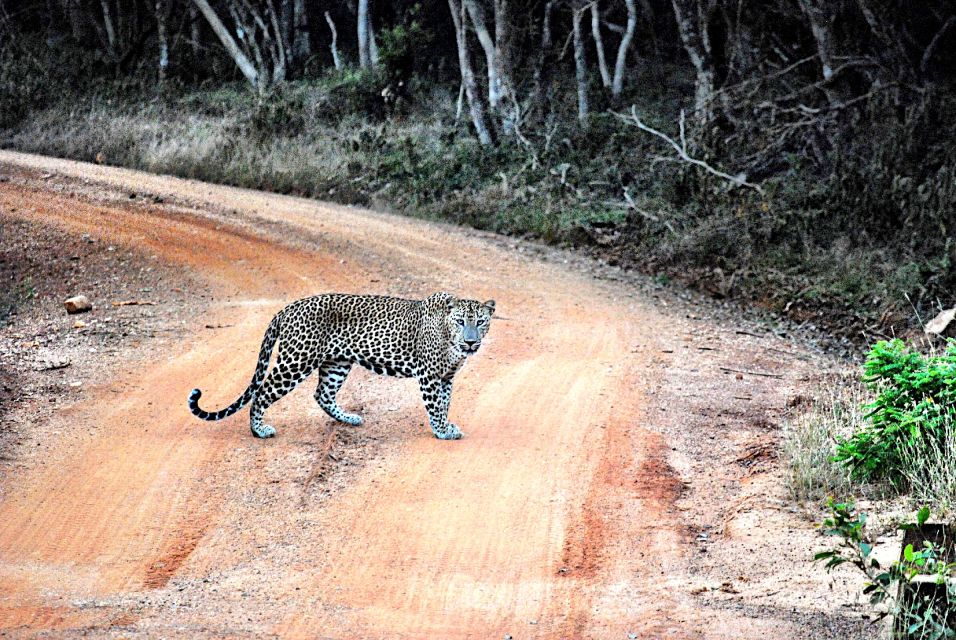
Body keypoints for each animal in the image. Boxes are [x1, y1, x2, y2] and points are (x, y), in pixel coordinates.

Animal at [190, 294, 496, 440]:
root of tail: (286, 309)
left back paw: (348, 418)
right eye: (460, 321)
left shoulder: (446, 377)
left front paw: (445, 425)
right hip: (296, 360)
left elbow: (444, 403)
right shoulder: (430, 375)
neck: (450, 339)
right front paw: (443, 431)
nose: (470, 341)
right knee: (262, 392)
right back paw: (259, 430)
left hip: (337, 362)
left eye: (480, 322)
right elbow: (435, 406)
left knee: (322, 394)